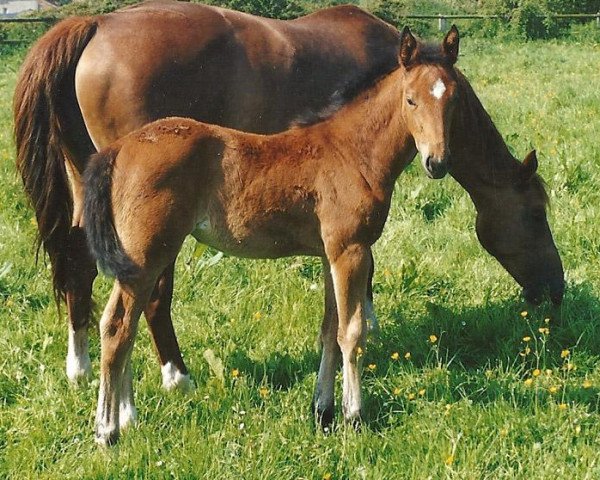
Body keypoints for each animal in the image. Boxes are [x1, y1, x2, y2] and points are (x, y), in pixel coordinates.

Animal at [85, 28, 460, 444]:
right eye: (411, 99)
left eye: (453, 97)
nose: (437, 162)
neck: (352, 152)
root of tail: (121, 148)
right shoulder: (351, 251)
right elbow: (352, 332)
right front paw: (354, 416)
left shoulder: (330, 255)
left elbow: (329, 330)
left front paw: (323, 410)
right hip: (145, 256)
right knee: (117, 327)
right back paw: (107, 430)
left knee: (128, 326)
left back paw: (128, 418)